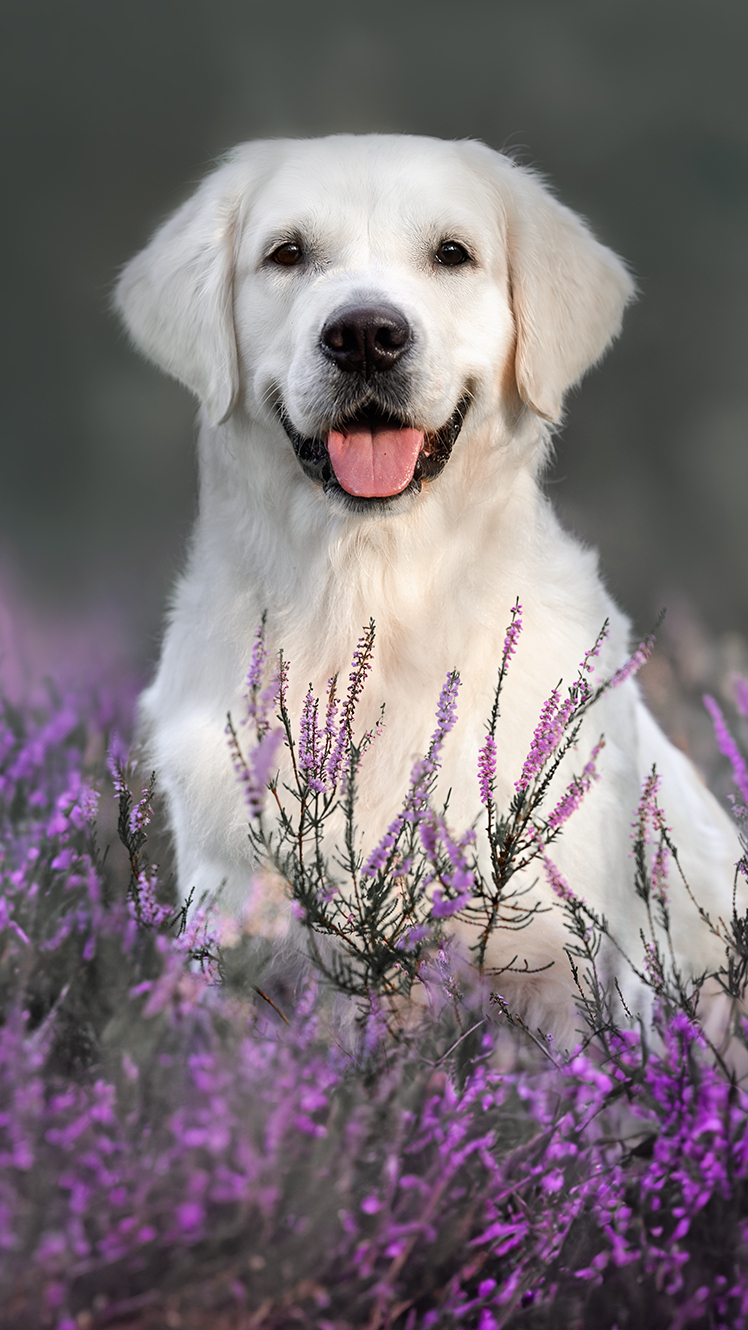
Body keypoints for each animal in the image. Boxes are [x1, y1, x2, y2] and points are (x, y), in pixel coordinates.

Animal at [113, 137, 734, 1048]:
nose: (366, 336)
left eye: (452, 253)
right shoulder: (232, 948)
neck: (372, 596)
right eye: (287, 254)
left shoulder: (571, 981)